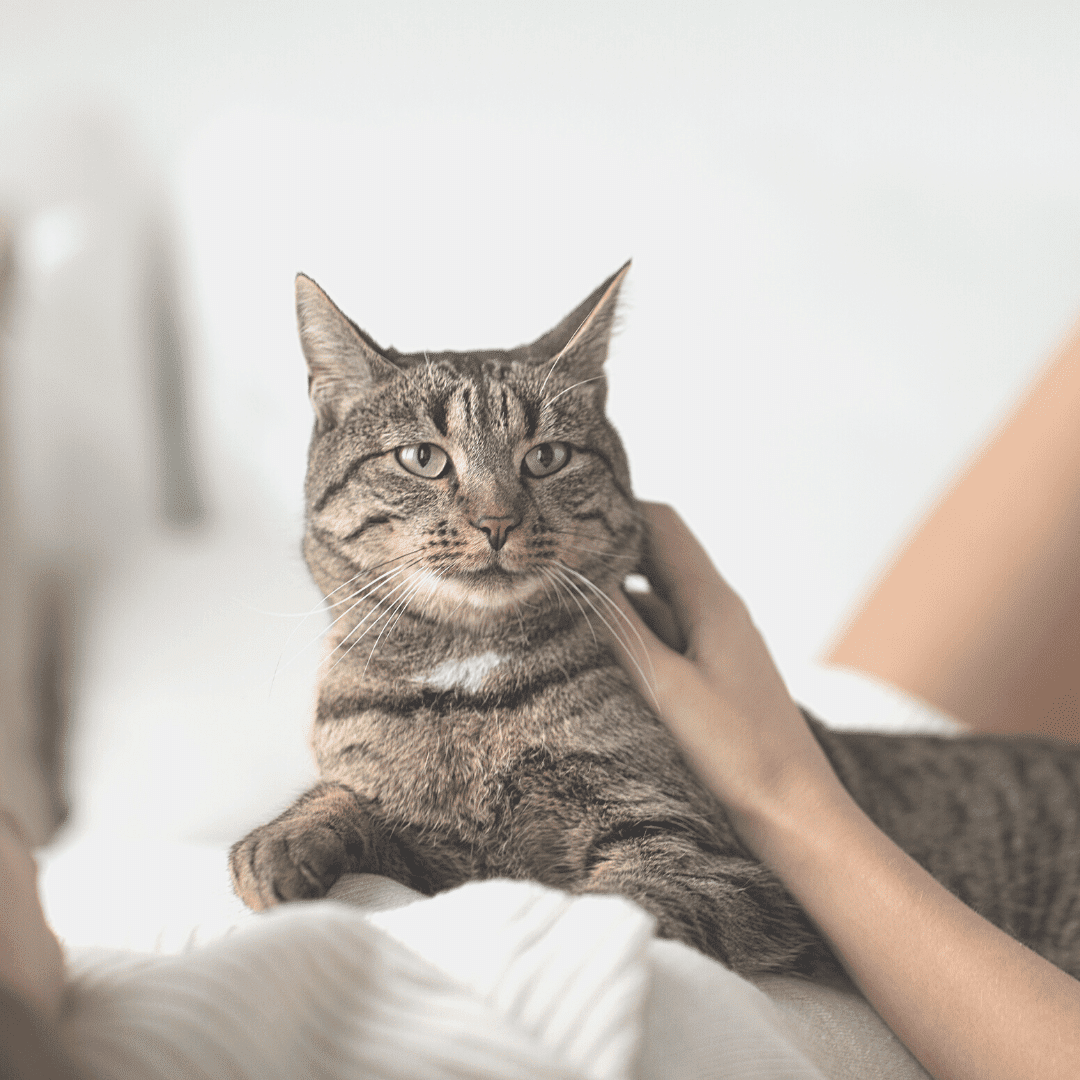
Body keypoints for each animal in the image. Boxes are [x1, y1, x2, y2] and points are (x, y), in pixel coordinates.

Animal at [232, 263, 1080, 980]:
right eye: (422, 458)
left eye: (547, 457)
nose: (497, 521)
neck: (468, 677)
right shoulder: (436, 851)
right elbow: (346, 800)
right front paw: (281, 841)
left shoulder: (696, 851)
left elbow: (615, 904)